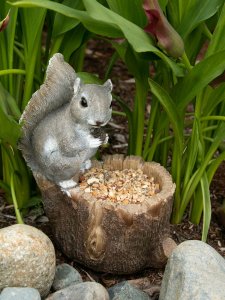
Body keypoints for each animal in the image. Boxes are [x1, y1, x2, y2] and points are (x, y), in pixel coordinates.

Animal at [19, 52, 112, 193]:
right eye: (83, 102)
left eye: (111, 104)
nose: (99, 121)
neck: (85, 127)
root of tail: (43, 171)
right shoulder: (64, 131)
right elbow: (68, 146)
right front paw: (91, 141)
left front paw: (105, 137)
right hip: (64, 164)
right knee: (59, 178)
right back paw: (67, 183)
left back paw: (86, 164)